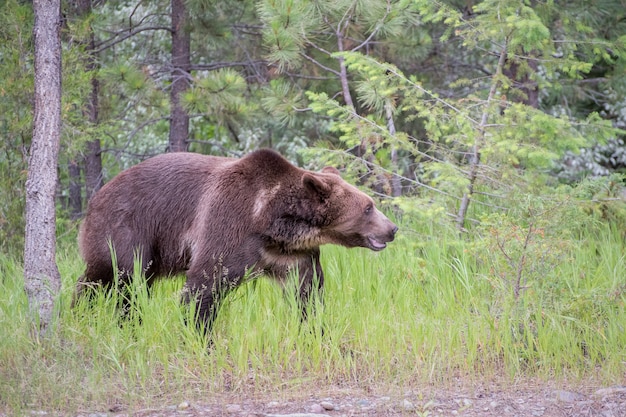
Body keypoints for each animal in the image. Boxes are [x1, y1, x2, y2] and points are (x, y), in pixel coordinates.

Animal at [75, 149, 398, 332]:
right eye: (368, 207)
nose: (393, 229)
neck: (271, 221)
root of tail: (96, 196)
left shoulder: (290, 254)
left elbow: (307, 291)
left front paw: (316, 329)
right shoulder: (228, 225)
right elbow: (205, 284)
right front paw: (199, 335)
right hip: (127, 227)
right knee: (120, 278)